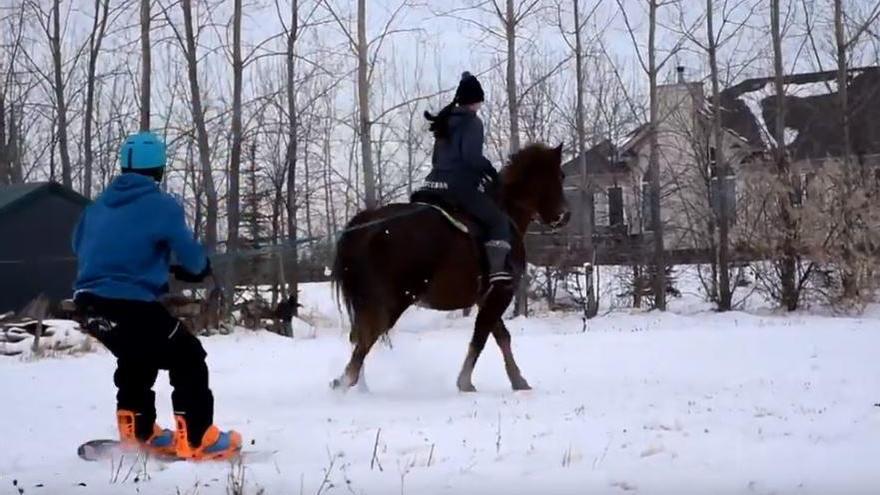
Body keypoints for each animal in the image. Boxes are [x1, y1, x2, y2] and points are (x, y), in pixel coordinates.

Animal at [330, 141, 572, 394]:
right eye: (560, 175)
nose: (565, 215)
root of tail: (368, 224)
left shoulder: (486, 297)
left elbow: (500, 335)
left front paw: (517, 380)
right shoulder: (501, 293)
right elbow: (481, 336)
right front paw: (465, 382)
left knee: (360, 337)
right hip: (394, 299)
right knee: (367, 338)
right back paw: (345, 382)